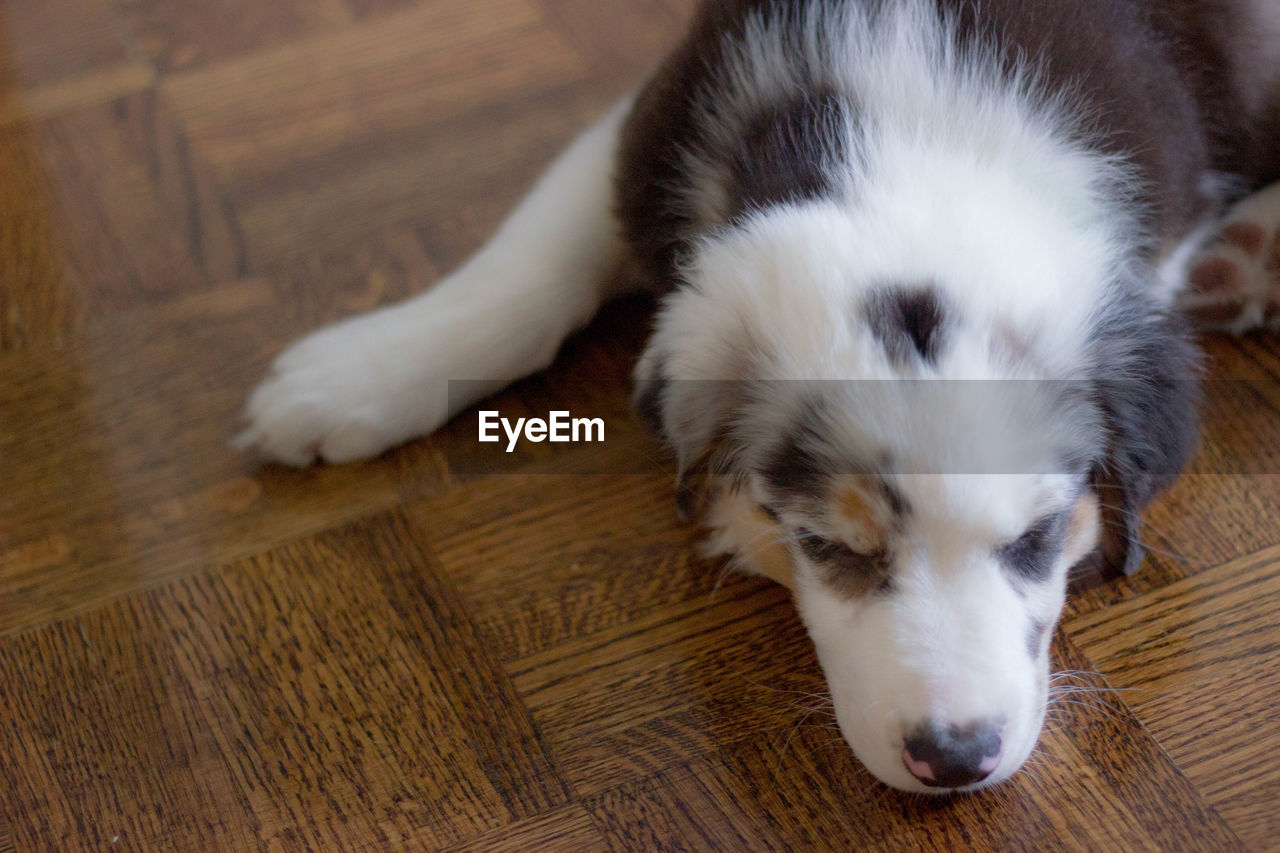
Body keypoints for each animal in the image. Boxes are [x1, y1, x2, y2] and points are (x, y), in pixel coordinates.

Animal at [235, 1, 1280, 788]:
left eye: (1038, 539)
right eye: (828, 547)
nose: (954, 760)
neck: (906, 137)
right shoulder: (648, 132)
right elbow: (532, 266)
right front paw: (356, 374)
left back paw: (1249, 258)